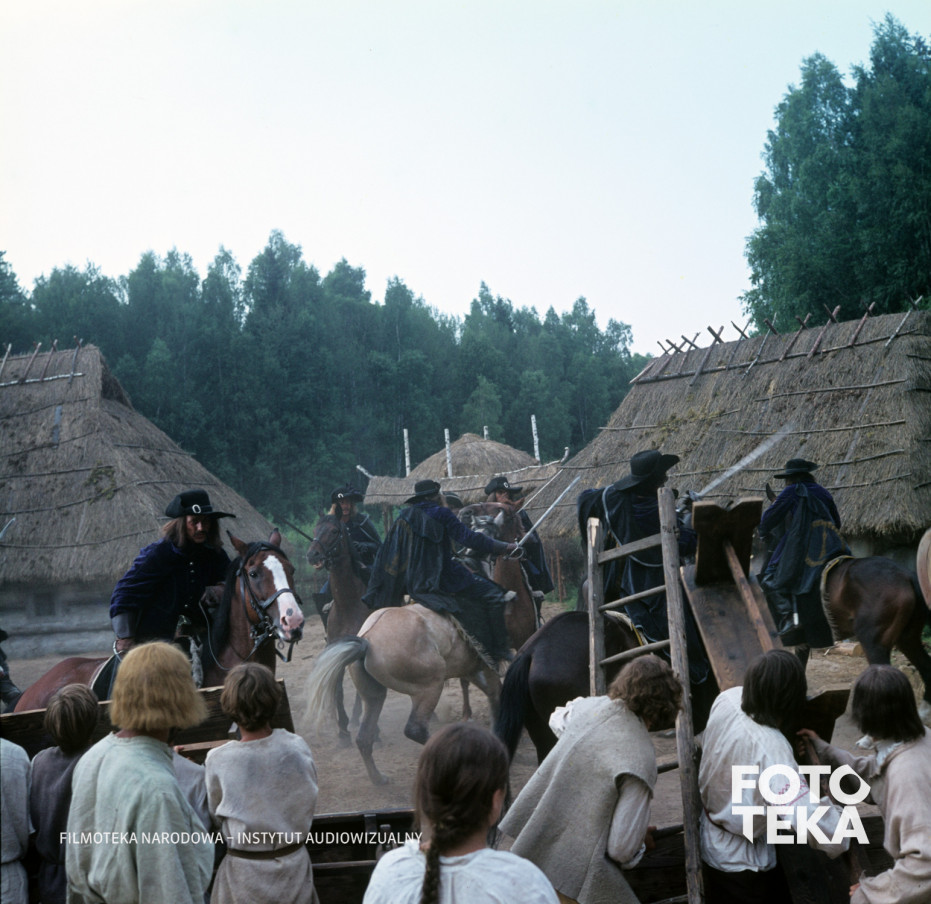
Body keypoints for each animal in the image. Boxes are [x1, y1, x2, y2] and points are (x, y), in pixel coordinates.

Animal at [305, 602, 501, 785]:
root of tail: (367, 641)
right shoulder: (485, 665)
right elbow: (495, 691)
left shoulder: (474, 668)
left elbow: (491, 692)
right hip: (430, 686)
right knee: (416, 730)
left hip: (374, 697)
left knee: (364, 738)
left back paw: (378, 778)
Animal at [306, 513, 370, 741]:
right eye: (316, 530)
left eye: (334, 531)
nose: (313, 554)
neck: (348, 604)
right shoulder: (338, 648)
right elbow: (338, 689)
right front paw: (343, 731)